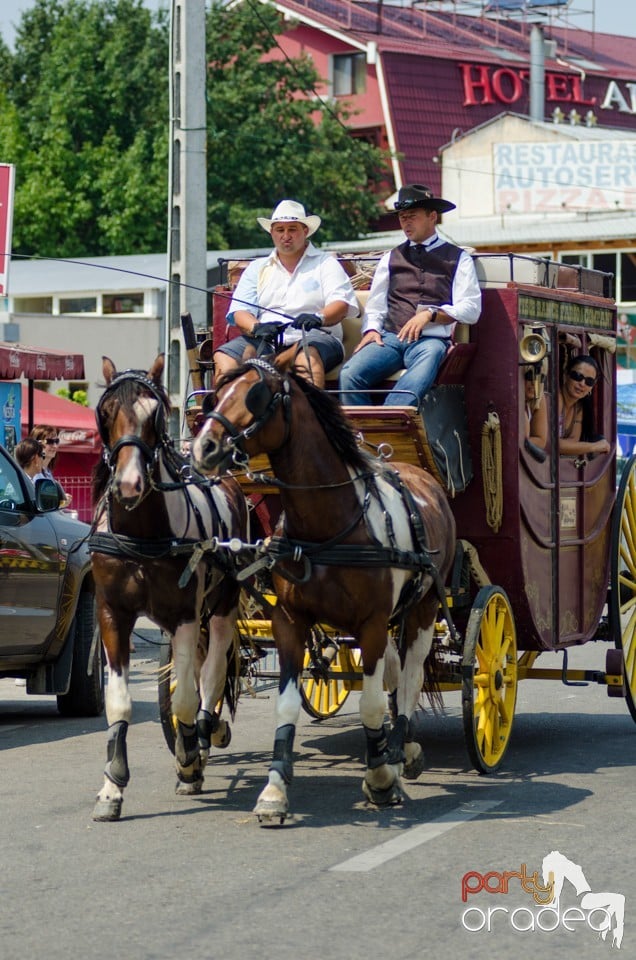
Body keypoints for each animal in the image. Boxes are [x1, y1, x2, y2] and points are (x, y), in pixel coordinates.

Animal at [90, 356, 247, 820]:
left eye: (154, 414)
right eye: (106, 412)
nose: (128, 485)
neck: (142, 534)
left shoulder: (183, 615)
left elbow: (185, 699)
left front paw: (189, 757)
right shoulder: (111, 613)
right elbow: (119, 700)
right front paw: (112, 786)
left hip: (222, 604)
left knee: (211, 673)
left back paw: (207, 733)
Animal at [190, 352, 458, 824]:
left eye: (255, 395)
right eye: (215, 394)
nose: (203, 447)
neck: (331, 523)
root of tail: (417, 473)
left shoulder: (371, 623)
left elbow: (372, 703)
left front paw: (380, 778)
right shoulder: (290, 621)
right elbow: (287, 704)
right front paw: (274, 791)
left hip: (424, 606)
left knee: (410, 672)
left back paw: (402, 747)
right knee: (396, 669)